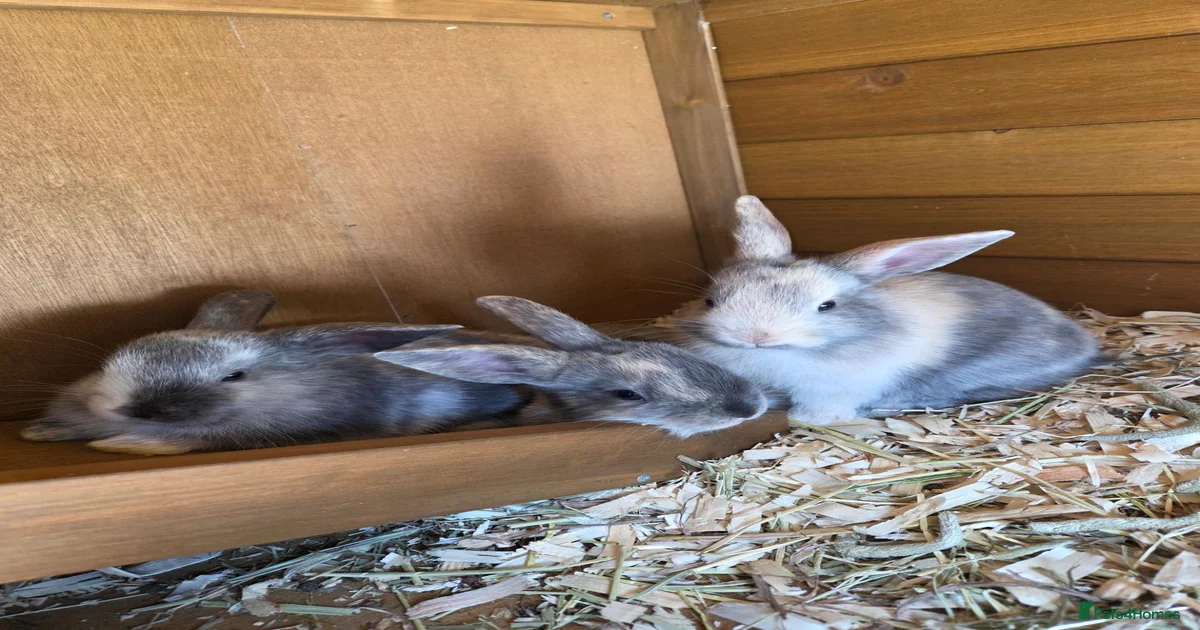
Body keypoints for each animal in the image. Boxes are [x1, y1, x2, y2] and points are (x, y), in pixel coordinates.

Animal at [656, 196, 1102, 424]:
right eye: (711, 300)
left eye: (827, 306)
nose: (754, 337)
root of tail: (1089, 346)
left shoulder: (836, 390)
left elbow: (818, 411)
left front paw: (806, 421)